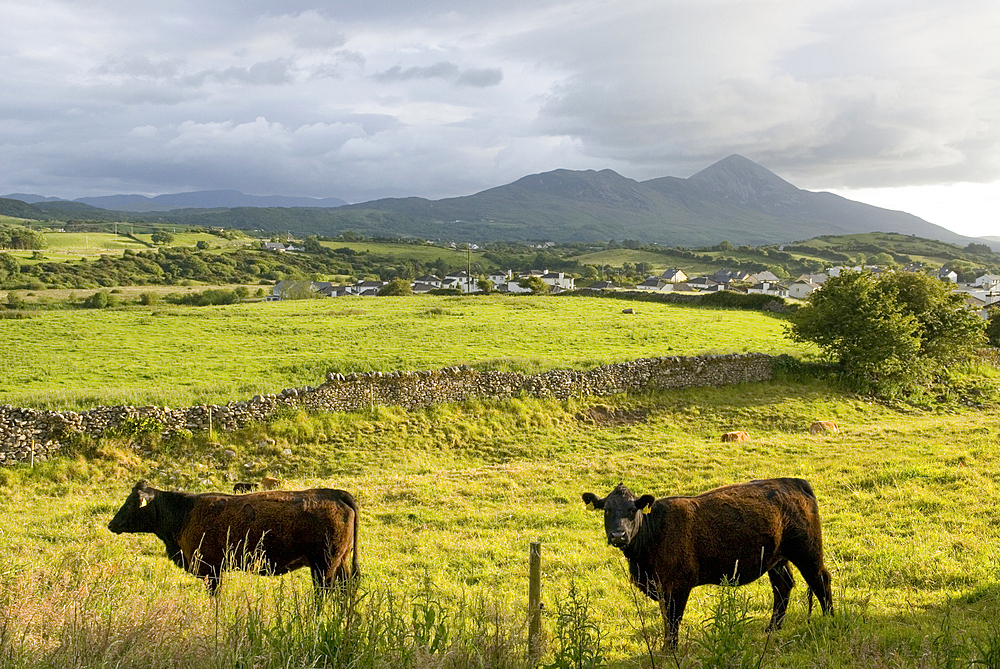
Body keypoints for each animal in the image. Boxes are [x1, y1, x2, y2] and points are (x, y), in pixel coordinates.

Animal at [108, 478, 360, 592]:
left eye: (130, 504)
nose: (111, 524)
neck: (185, 512)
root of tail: (335, 493)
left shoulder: (211, 571)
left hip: (323, 567)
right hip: (340, 563)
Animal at [584, 480, 832, 648]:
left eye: (632, 510)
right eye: (607, 510)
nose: (619, 535)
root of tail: (793, 482)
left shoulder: (677, 586)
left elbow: (672, 620)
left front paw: (669, 650)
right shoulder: (662, 587)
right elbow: (666, 618)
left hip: (807, 551)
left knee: (821, 580)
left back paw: (829, 619)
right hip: (776, 559)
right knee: (783, 587)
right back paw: (772, 629)